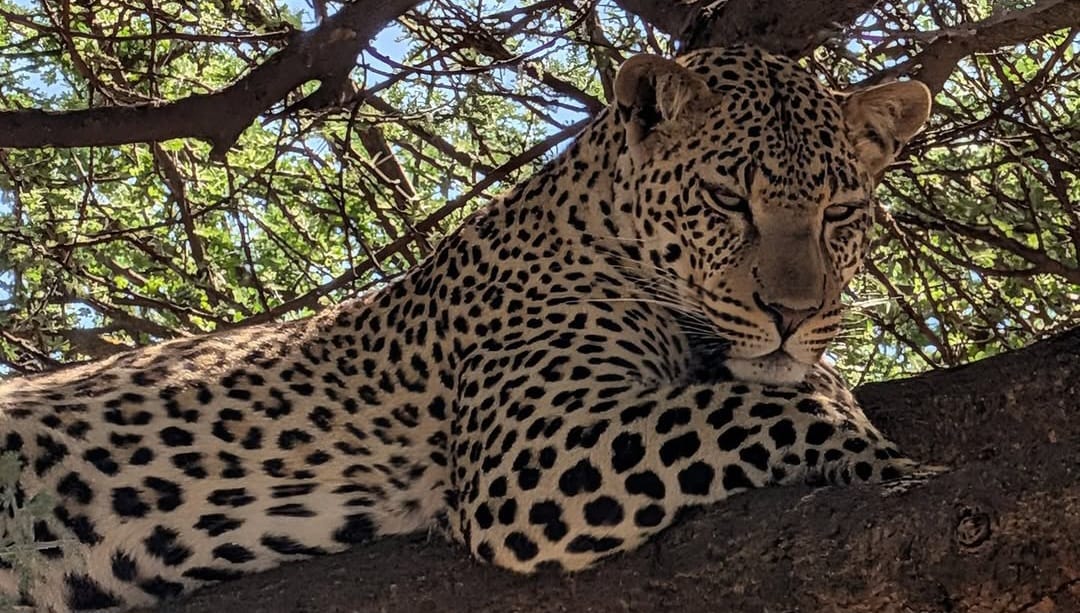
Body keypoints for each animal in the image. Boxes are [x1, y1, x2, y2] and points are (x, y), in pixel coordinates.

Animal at [0, 45, 932, 612]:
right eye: (726, 199)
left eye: (841, 212)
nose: (793, 313)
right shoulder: (529, 450)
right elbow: (737, 407)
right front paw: (878, 458)